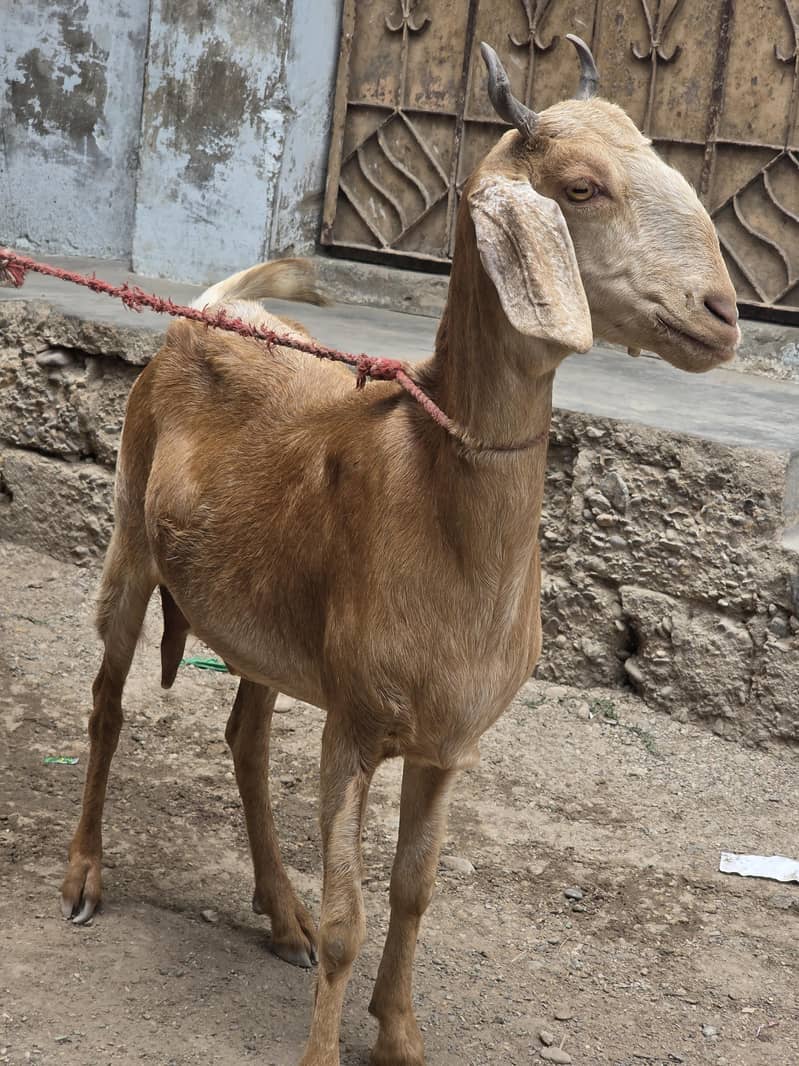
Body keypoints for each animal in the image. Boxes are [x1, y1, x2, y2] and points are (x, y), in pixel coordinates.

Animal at [60, 37, 739, 1066]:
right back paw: (85, 877)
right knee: (107, 705)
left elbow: (414, 892)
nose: (720, 313)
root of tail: (198, 312)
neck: (438, 502)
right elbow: (352, 920)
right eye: (582, 188)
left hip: (261, 625)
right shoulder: (352, 726)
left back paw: (280, 915)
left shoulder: (447, 743)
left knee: (244, 738)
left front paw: (399, 1036)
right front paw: (323, 1045)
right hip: (132, 546)